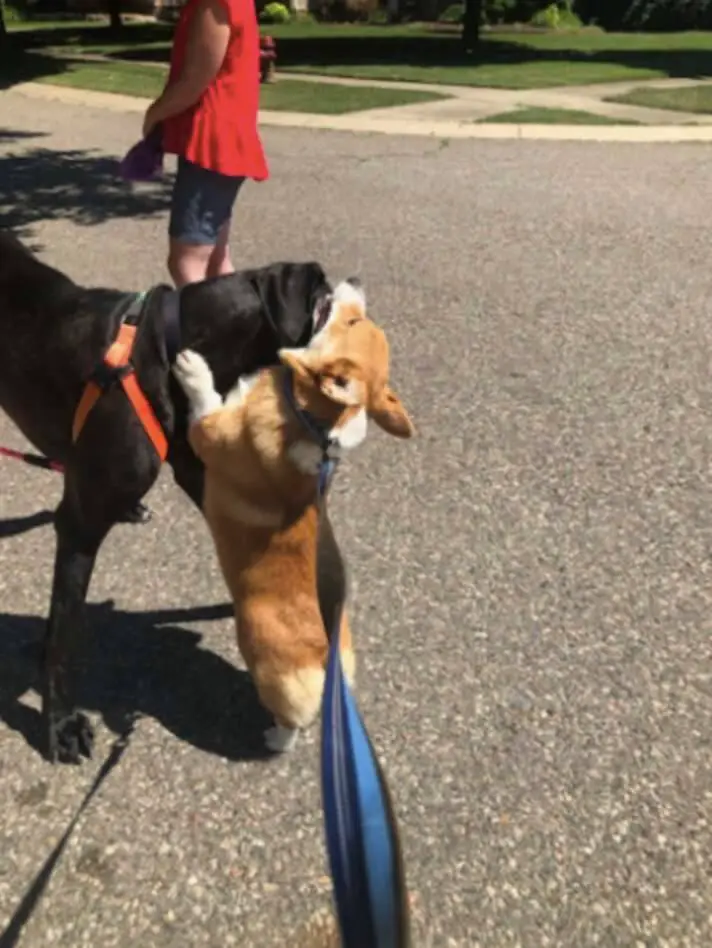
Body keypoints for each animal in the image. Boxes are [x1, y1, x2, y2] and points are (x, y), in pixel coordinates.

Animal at [0, 233, 336, 768]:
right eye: (327, 307)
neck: (170, 347)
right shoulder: (79, 525)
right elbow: (64, 634)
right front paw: (59, 725)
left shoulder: (196, 472)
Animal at [173, 278, 414, 752]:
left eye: (353, 321)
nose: (356, 281)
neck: (308, 419)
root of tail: (324, 659)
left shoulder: (207, 431)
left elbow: (205, 398)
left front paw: (192, 368)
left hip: (260, 656)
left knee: (292, 724)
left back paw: (273, 737)